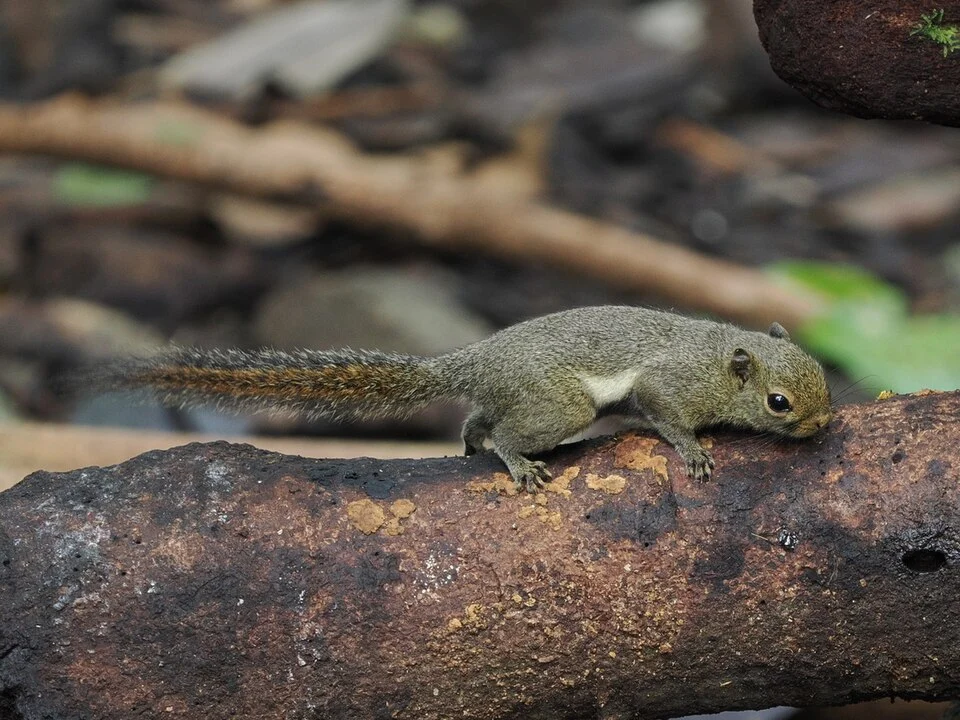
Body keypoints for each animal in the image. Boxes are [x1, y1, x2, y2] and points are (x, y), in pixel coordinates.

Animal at [94, 306, 833, 491]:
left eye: (825, 375)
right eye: (779, 403)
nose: (823, 426)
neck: (723, 358)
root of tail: (475, 361)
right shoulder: (671, 384)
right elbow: (666, 414)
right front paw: (692, 449)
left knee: (480, 420)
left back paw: (474, 441)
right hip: (558, 405)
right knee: (509, 431)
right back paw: (516, 463)